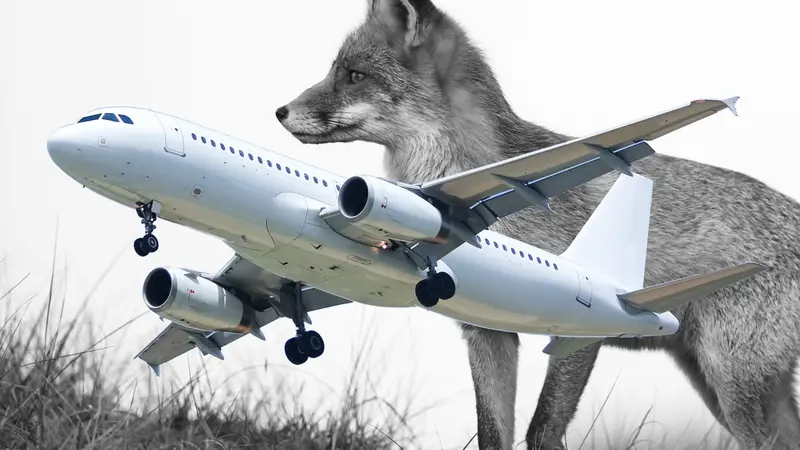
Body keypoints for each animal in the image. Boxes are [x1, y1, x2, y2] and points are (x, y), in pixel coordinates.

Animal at [275, 0, 800, 449]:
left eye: (354, 76)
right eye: (337, 71)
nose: (279, 111)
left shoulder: (582, 327)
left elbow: (542, 429)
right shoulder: (484, 332)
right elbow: (492, 432)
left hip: (734, 386)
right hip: (718, 384)